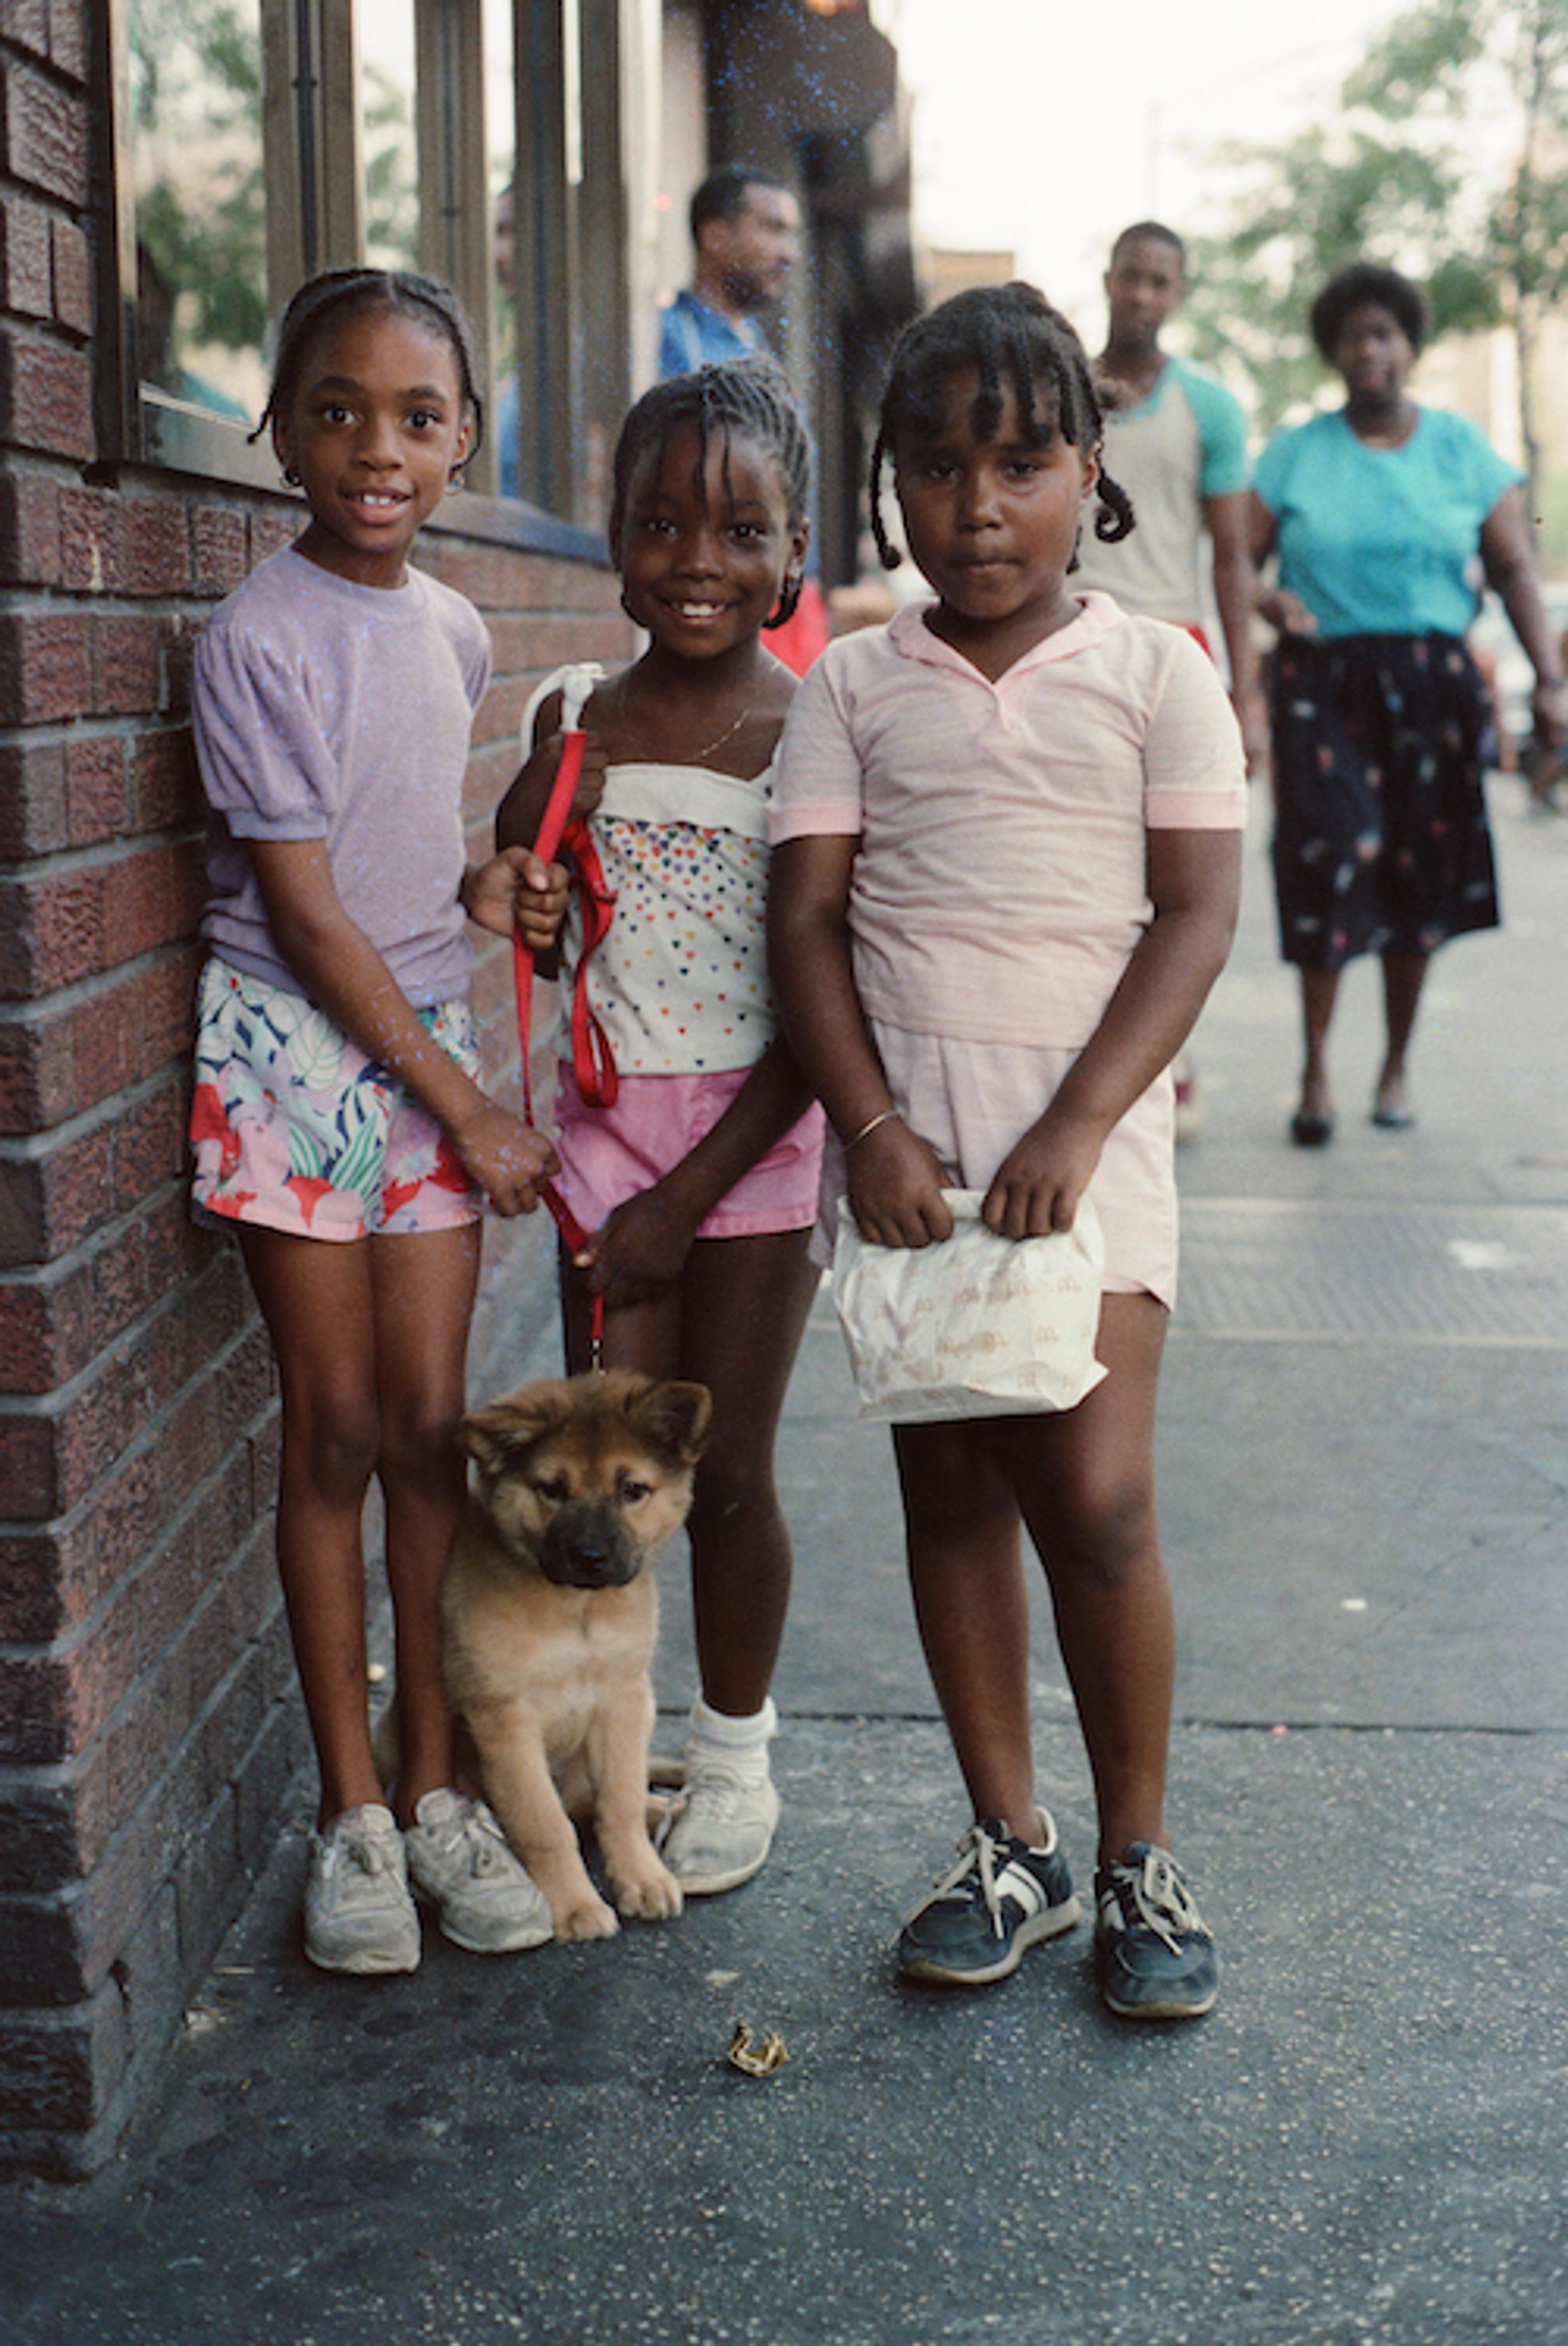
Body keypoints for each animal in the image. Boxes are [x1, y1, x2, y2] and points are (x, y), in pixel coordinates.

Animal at [441, 1370, 709, 1942]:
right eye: (552, 1490)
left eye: (633, 1490)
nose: (590, 1558)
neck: (577, 1609)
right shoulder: (504, 1716)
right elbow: (544, 1823)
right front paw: (572, 1905)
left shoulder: (624, 1698)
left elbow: (620, 1802)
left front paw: (641, 1877)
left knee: (599, 1799)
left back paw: (662, 1806)